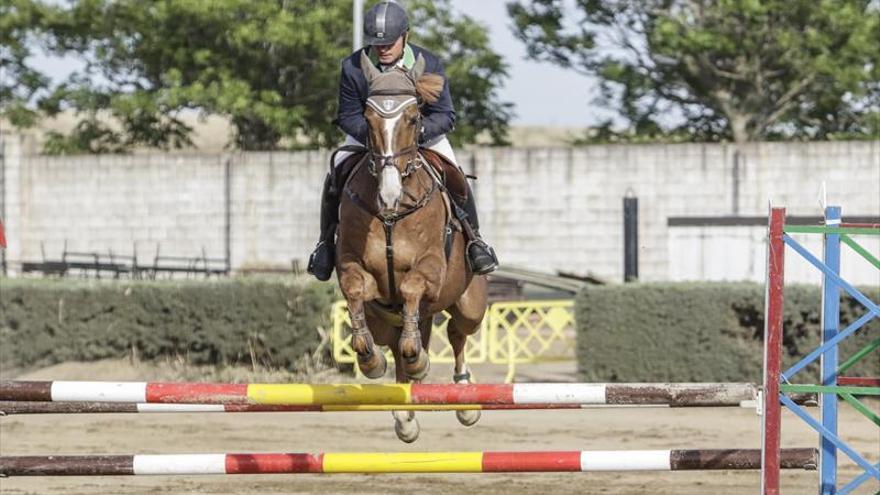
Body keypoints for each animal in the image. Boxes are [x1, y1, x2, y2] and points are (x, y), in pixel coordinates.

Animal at [336, 52, 488, 444]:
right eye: (368, 118)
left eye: (415, 117)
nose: (389, 196)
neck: (392, 216)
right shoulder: (352, 266)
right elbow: (356, 291)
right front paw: (370, 361)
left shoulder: (430, 268)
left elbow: (410, 286)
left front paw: (420, 361)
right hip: (384, 319)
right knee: (398, 342)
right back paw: (404, 414)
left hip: (470, 304)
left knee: (455, 333)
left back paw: (464, 399)